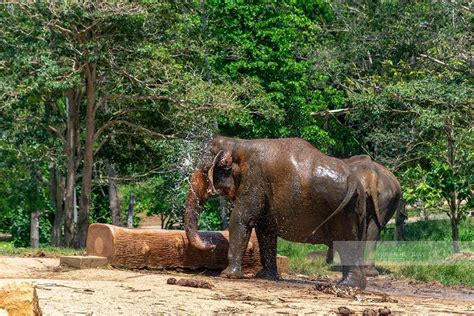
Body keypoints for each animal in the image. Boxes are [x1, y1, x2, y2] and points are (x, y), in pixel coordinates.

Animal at [184, 136, 366, 288]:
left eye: (204, 172)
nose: (211, 244)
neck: (237, 143)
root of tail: (355, 181)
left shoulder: (254, 179)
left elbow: (241, 219)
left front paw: (227, 276)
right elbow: (265, 229)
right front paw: (264, 277)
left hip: (342, 210)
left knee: (345, 240)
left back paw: (347, 285)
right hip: (353, 209)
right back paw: (352, 285)